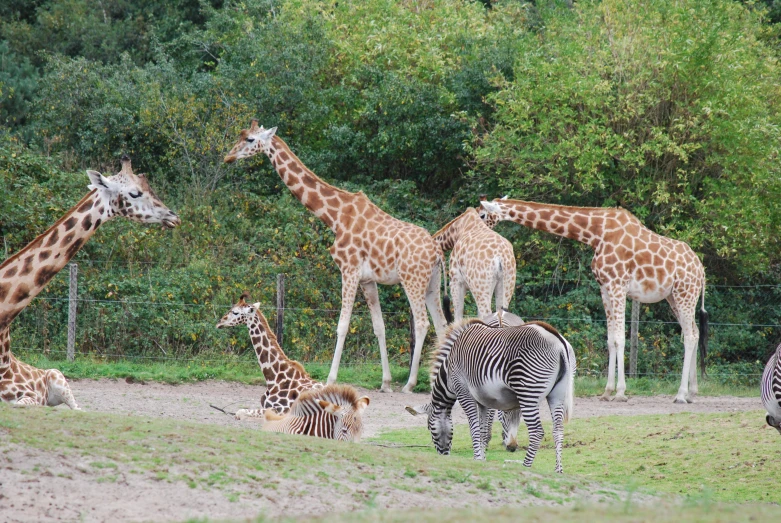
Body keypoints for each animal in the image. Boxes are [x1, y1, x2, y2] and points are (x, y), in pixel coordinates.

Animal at [222, 122, 448, 392]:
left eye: (250, 139)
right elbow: (379, 327)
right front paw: (385, 382)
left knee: (423, 323)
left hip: (412, 280)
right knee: (442, 325)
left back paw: (410, 384)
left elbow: (342, 325)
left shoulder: (348, 270)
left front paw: (330, 379)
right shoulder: (367, 280)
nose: (228, 157)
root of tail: (436, 251)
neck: (335, 217)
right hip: (432, 283)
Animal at [408, 320, 572, 474]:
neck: (448, 372)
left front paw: (477, 458)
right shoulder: (483, 401)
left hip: (528, 393)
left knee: (537, 432)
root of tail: (558, 341)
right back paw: (558, 470)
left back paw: (525, 466)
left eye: (429, 427)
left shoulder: (464, 393)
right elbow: (482, 431)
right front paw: (482, 459)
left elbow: (474, 428)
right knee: (558, 430)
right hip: (557, 395)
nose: (443, 456)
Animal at [478, 199, 704, 404]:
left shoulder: (618, 285)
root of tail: (701, 271)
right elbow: (611, 339)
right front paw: (607, 391)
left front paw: (621, 393)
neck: (596, 233)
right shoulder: (604, 287)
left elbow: (620, 338)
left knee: (690, 336)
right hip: (674, 297)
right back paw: (693, 392)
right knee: (694, 332)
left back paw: (681, 395)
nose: (480, 229)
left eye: (482, 214)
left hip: (685, 293)